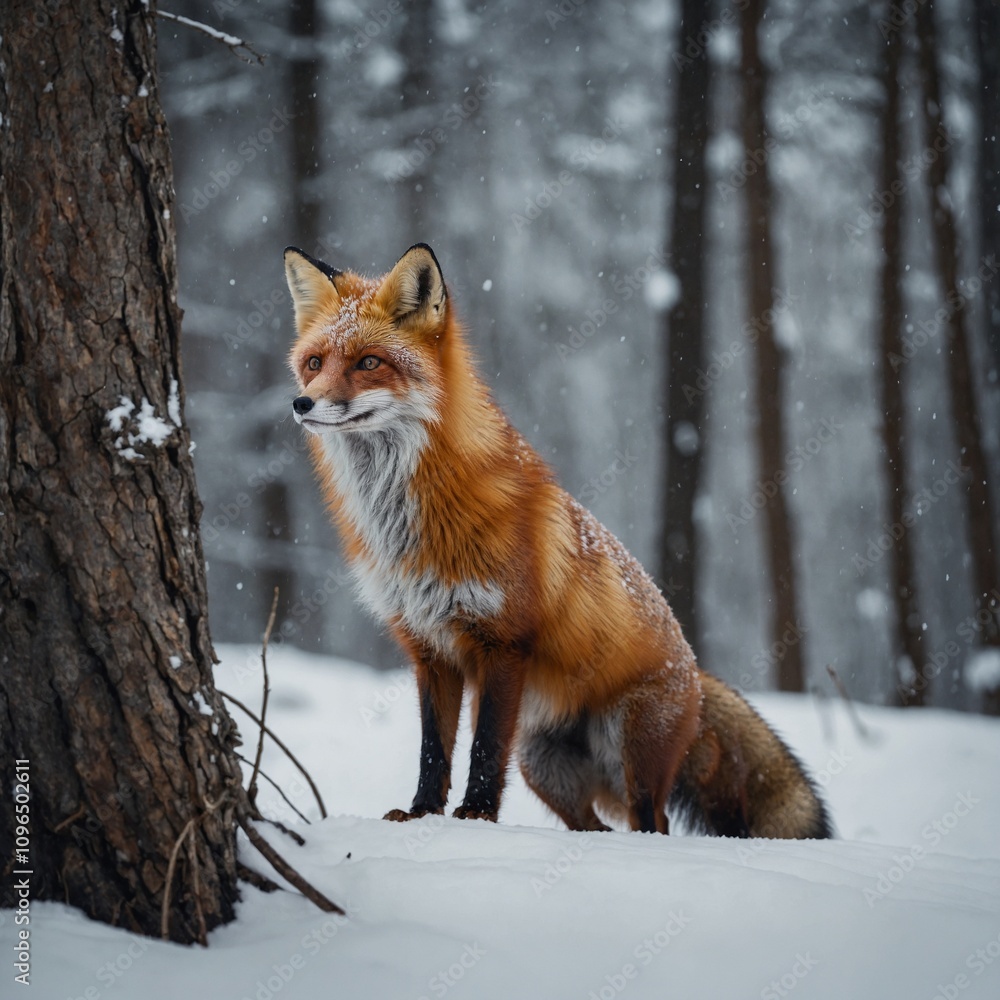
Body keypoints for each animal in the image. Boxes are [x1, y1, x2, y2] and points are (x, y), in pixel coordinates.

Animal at [282, 242, 832, 839]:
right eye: (314, 363)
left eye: (368, 363)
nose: (302, 403)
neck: (408, 524)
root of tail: (695, 670)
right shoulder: (429, 649)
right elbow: (434, 750)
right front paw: (423, 812)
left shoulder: (503, 641)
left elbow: (483, 748)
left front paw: (476, 815)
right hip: (543, 766)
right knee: (593, 826)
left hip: (630, 754)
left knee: (653, 821)